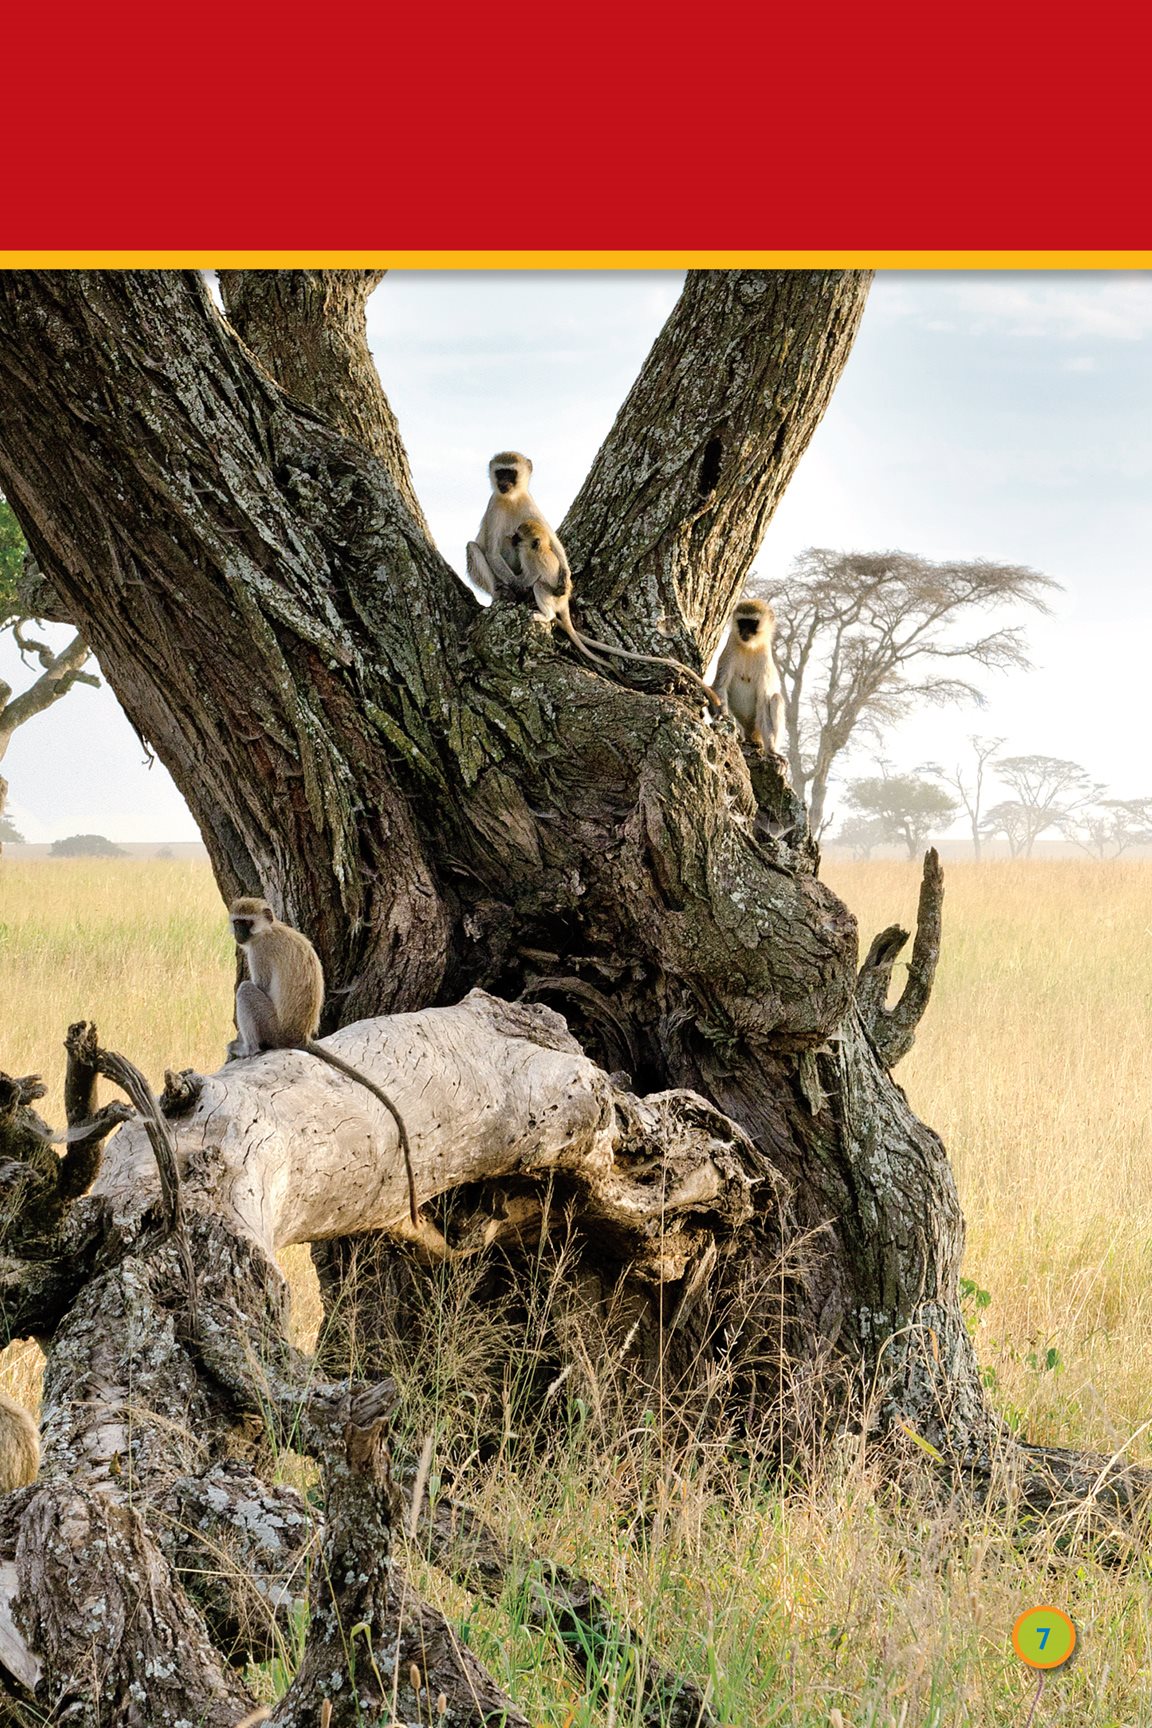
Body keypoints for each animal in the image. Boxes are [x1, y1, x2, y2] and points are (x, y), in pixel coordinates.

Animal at [224, 905, 419, 1230]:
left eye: (245, 923)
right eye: (236, 921)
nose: (238, 934)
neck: (270, 929)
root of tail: (299, 1036)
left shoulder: (260, 952)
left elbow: (257, 985)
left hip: (272, 1026)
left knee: (247, 990)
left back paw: (248, 1049)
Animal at [462, 449, 563, 597]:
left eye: (510, 473)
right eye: (500, 473)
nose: (503, 483)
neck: (511, 499)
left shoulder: (528, 502)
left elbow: (551, 539)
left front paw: (565, 575)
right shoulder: (494, 507)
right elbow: (492, 553)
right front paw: (515, 584)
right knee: (472, 547)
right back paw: (499, 591)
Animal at [715, 597, 787, 753]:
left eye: (752, 623)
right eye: (742, 622)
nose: (745, 632)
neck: (749, 648)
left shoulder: (765, 657)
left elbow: (764, 699)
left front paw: (771, 749)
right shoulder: (730, 648)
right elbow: (719, 686)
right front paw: (725, 717)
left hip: (757, 730)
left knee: (776, 698)